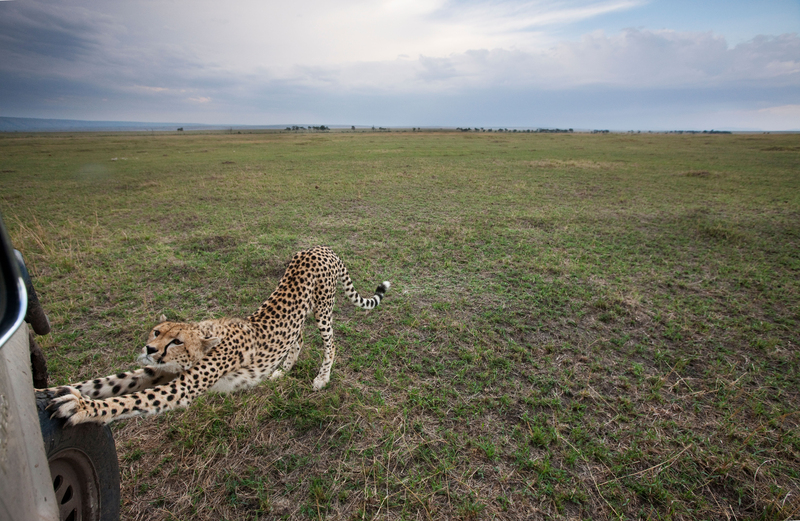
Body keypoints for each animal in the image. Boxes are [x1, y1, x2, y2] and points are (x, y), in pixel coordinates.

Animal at [47, 246, 390, 424]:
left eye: (176, 341)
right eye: (156, 332)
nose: (149, 349)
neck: (205, 337)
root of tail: (319, 246)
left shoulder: (182, 388)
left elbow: (130, 399)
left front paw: (81, 408)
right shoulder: (156, 371)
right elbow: (108, 383)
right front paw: (55, 391)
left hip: (322, 308)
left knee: (331, 343)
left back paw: (322, 378)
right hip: (303, 312)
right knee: (298, 338)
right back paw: (281, 371)